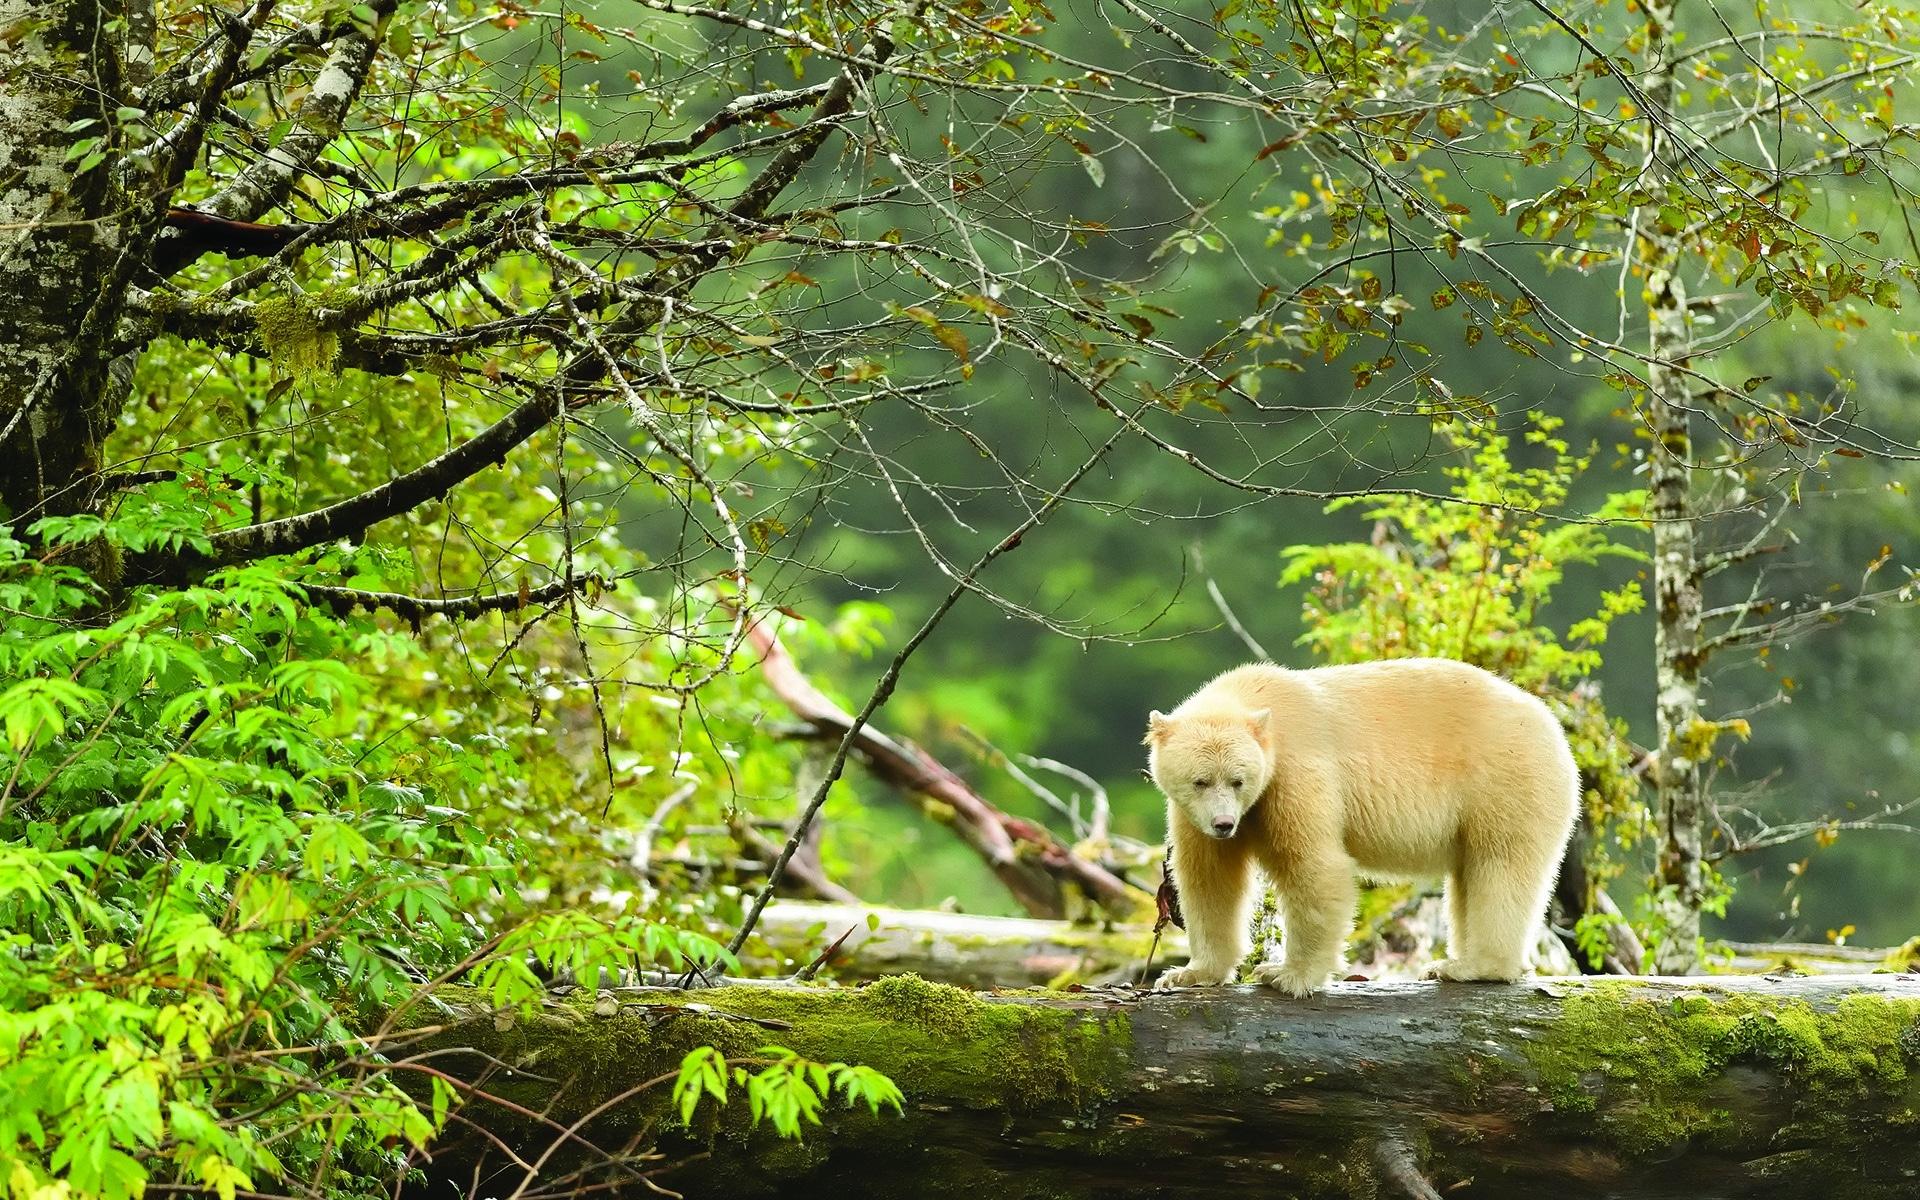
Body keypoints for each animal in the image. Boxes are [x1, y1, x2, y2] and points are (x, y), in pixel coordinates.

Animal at [1145, 658, 1579, 997]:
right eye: (1200, 781)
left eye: (1238, 780)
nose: (1223, 823)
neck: (1258, 699)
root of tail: (1554, 727)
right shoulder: (1194, 815)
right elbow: (1209, 879)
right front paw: (1188, 974)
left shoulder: (1296, 771)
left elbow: (1315, 866)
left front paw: (1286, 975)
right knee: (1469, 875)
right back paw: (1453, 962)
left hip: (1504, 778)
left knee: (1500, 864)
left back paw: (1474, 967)